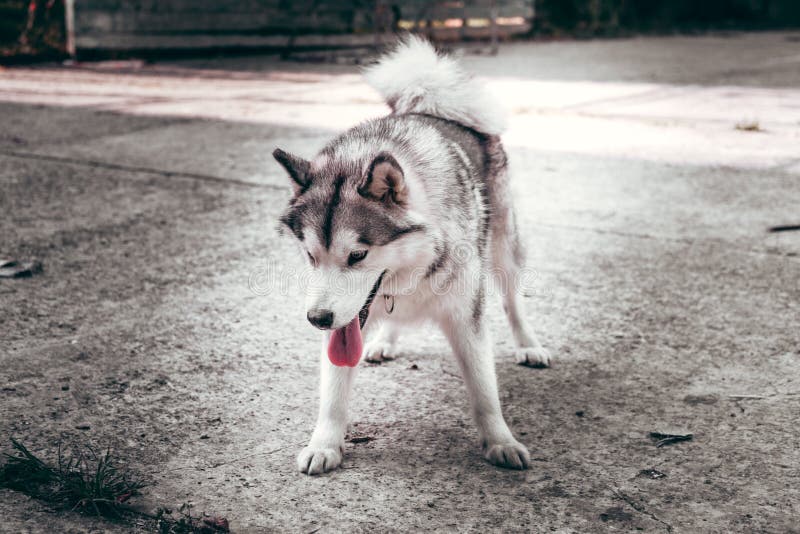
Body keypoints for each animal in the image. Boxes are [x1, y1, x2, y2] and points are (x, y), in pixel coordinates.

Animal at [274, 35, 552, 476]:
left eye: (357, 255)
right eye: (310, 255)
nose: (317, 319)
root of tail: (430, 104)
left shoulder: (466, 316)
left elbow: (484, 391)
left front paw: (500, 441)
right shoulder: (344, 317)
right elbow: (333, 393)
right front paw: (324, 443)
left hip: (504, 249)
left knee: (512, 300)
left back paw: (528, 344)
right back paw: (384, 340)